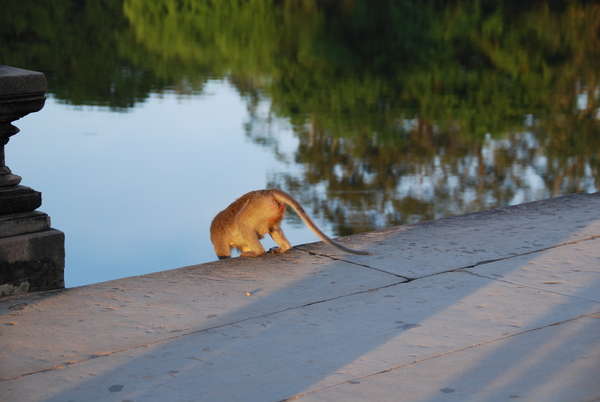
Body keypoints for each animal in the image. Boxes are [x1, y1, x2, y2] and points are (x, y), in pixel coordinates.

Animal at [210, 187, 370, 260]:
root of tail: (268, 191)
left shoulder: (216, 237)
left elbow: (224, 254)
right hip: (270, 211)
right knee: (273, 228)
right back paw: (284, 247)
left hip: (256, 208)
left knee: (241, 220)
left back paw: (257, 252)